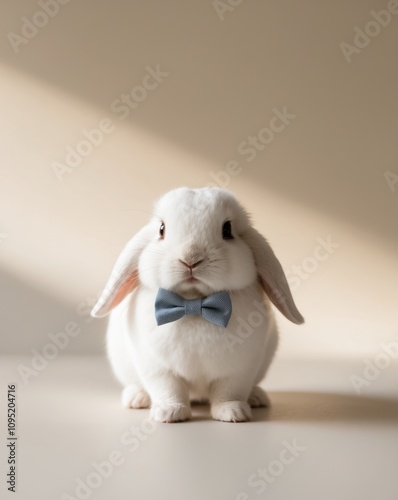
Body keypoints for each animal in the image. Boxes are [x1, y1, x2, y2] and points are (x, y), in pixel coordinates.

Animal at [91, 188, 304, 422]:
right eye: (161, 229)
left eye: (227, 229)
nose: (190, 258)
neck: (193, 302)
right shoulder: (157, 367)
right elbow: (168, 388)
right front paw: (169, 413)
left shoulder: (240, 368)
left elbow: (229, 391)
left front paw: (233, 412)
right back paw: (137, 398)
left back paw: (257, 398)